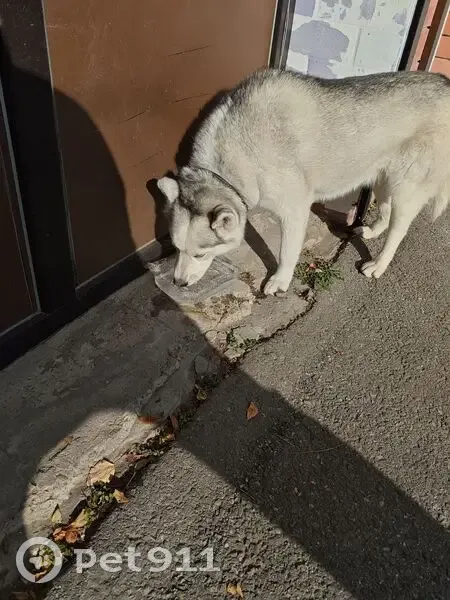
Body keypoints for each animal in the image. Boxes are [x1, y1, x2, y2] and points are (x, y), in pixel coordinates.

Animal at [157, 68, 450, 295]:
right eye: (177, 249)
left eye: (200, 254)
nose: (178, 283)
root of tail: (445, 84)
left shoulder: (294, 209)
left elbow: (287, 251)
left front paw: (280, 281)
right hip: (383, 177)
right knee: (386, 208)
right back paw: (373, 230)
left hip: (407, 187)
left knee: (399, 230)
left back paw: (379, 264)